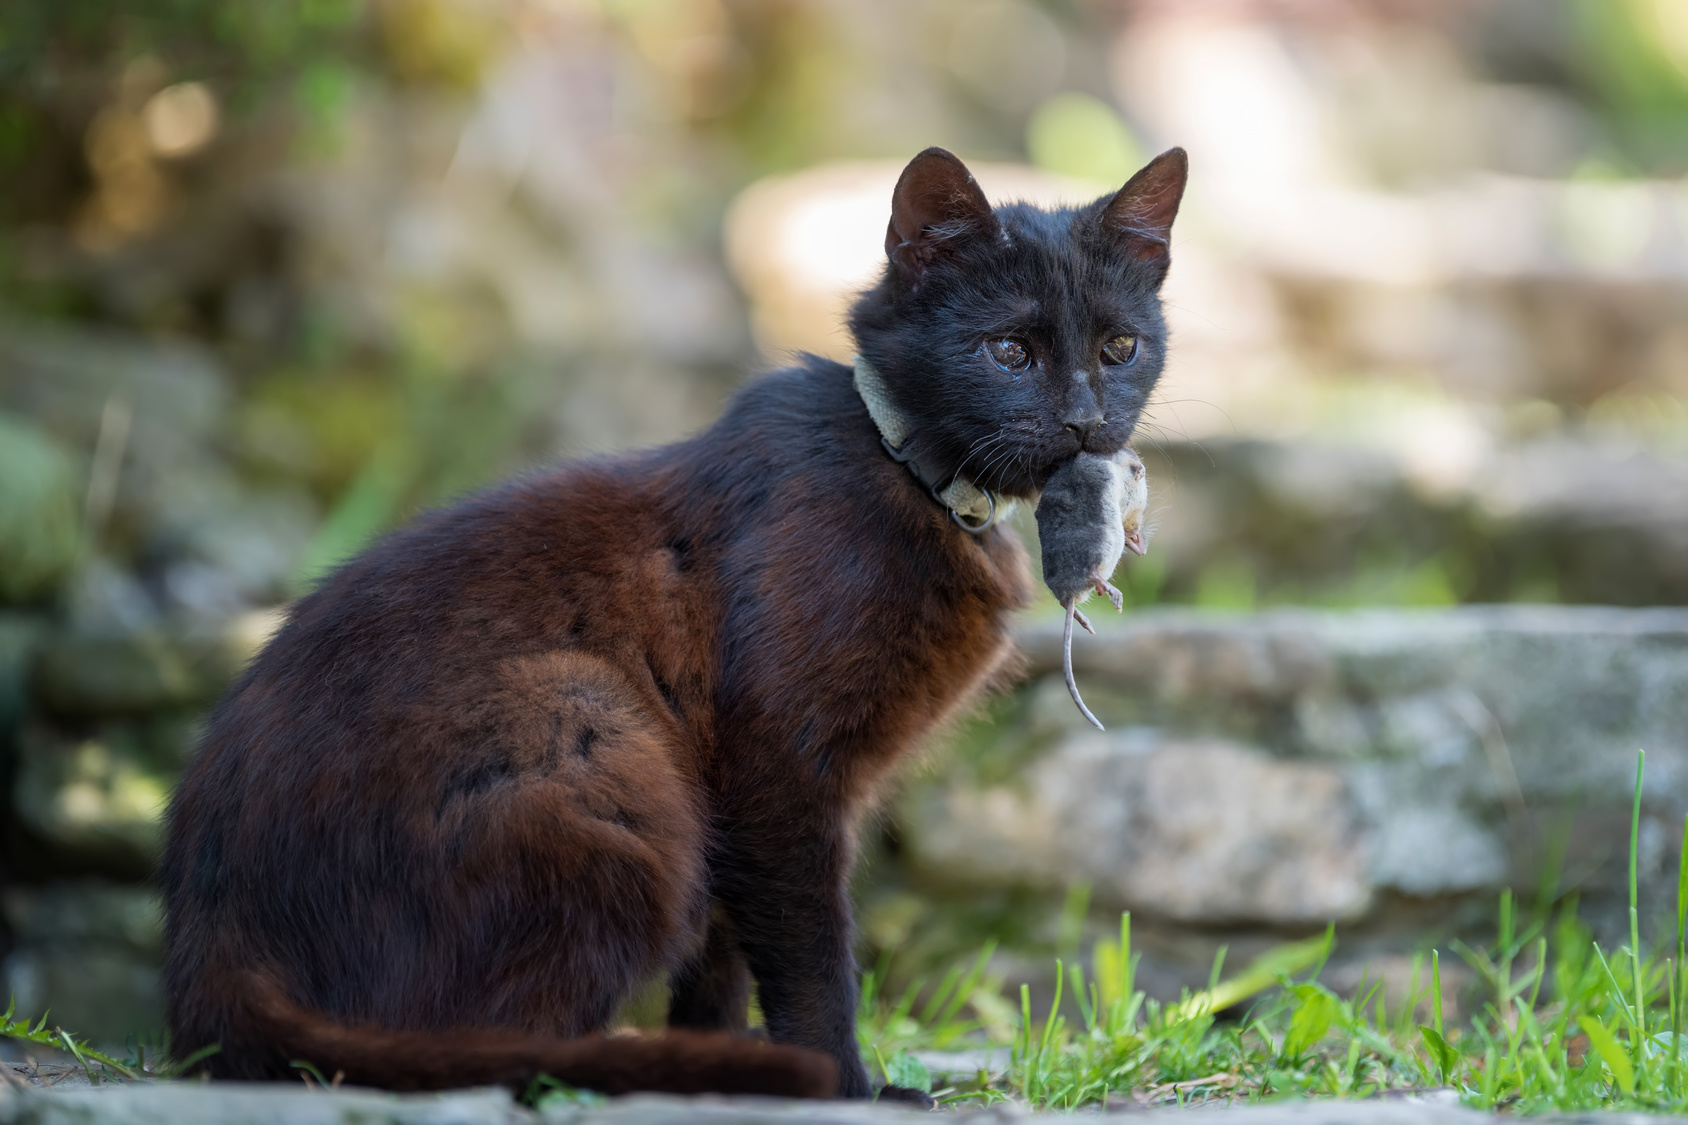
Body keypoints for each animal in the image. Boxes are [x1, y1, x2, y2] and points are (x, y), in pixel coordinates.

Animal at [158, 140, 1188, 1094]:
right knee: (496, 1045)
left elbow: (723, 963)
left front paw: (732, 1058)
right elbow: (815, 961)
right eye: (1009, 351)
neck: (912, 476)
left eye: (1119, 348)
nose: (1085, 420)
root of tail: (211, 944)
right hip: (597, 732)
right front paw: (841, 1086)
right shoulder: (780, 767)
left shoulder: (742, 797)